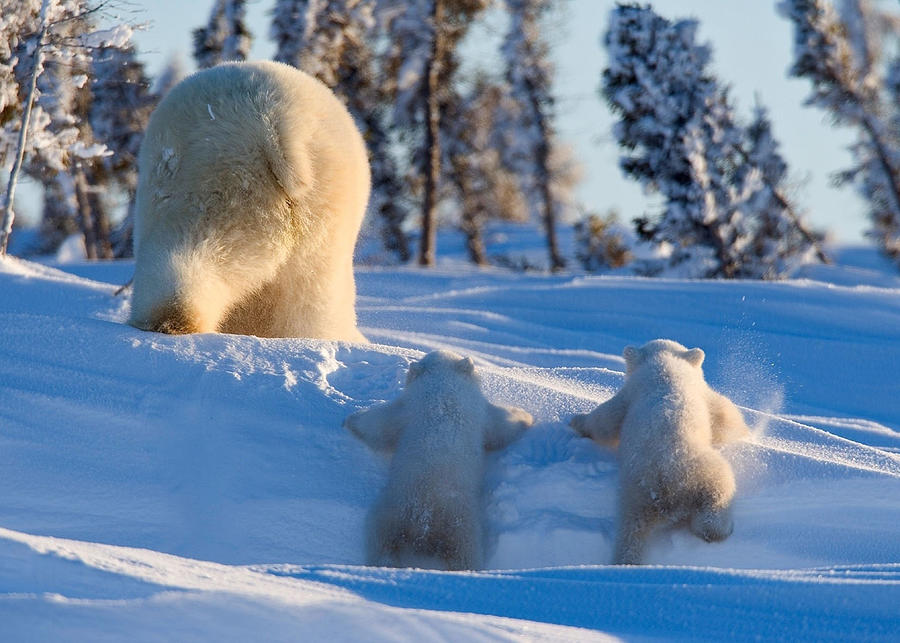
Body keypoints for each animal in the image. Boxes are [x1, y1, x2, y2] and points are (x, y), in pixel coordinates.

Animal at [126, 61, 370, 342]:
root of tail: (277, 124)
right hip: (321, 204)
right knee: (311, 296)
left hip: (216, 184)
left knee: (192, 247)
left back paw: (167, 321)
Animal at [572, 340, 748, 568]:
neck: (665, 366)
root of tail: (668, 490)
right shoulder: (633, 392)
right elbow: (606, 419)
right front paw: (576, 420)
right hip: (697, 471)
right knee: (720, 490)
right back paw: (717, 530)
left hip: (636, 493)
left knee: (632, 530)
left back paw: (626, 561)